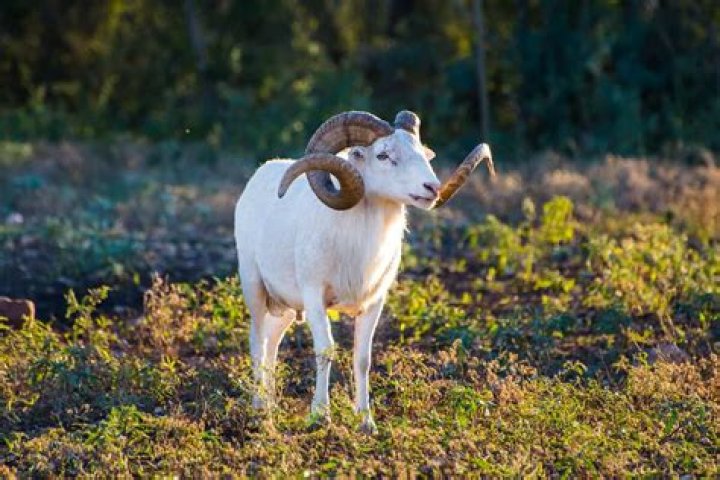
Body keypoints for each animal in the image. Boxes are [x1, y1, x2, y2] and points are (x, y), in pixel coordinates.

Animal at [234, 110, 493, 433]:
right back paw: (261, 412)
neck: (357, 247)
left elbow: (362, 359)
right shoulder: (315, 298)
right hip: (255, 290)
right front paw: (320, 416)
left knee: (272, 344)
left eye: (422, 153)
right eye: (383, 155)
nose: (431, 188)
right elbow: (326, 350)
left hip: (285, 309)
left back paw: (271, 405)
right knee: (258, 343)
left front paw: (366, 423)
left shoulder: (373, 304)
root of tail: (257, 179)